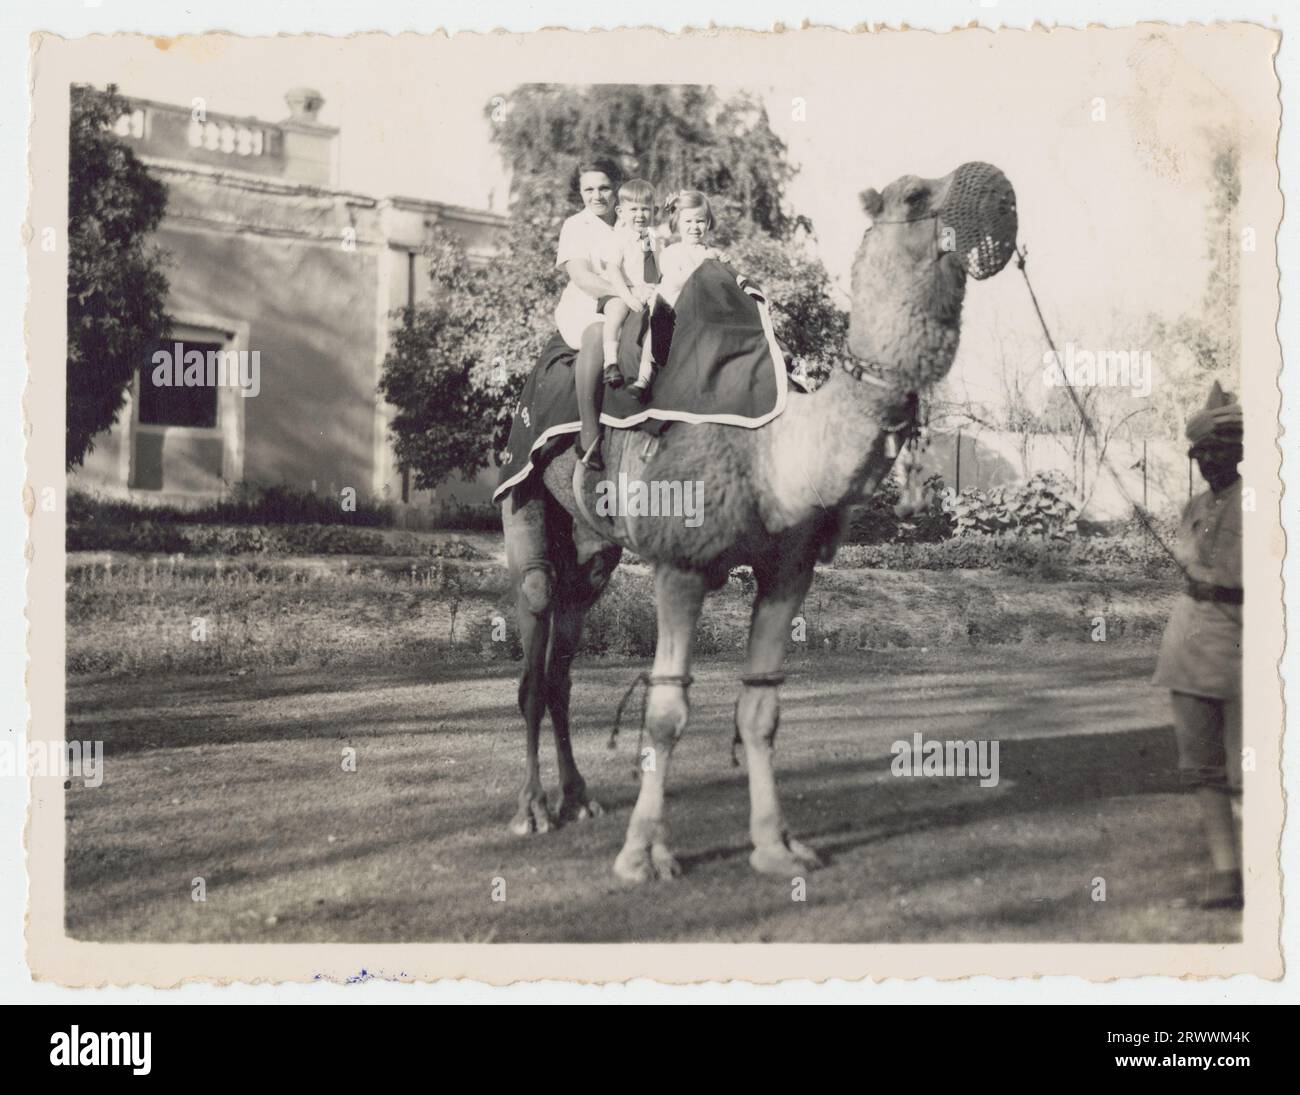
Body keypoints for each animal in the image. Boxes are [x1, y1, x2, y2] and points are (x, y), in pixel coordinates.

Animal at [496, 159, 1013, 879]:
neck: (776, 448)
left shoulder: (788, 570)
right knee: (535, 638)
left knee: (564, 657)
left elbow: (762, 708)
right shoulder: (682, 564)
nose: (995, 187)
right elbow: (667, 710)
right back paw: (533, 809)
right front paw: (644, 854)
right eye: (914, 193)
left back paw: (579, 798)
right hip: (522, 493)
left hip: (594, 547)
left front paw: (775, 845)